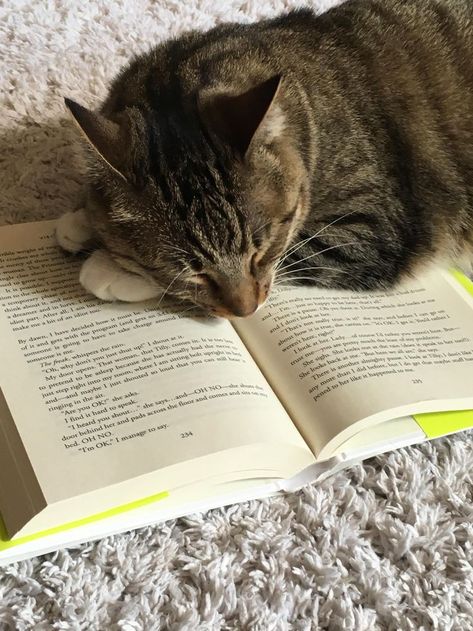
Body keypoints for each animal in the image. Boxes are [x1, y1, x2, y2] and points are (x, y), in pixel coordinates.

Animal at [57, 0, 472, 318]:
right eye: (192, 271)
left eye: (260, 252)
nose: (245, 311)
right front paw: (83, 220)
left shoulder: (370, 229)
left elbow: (298, 251)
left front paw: (110, 268)